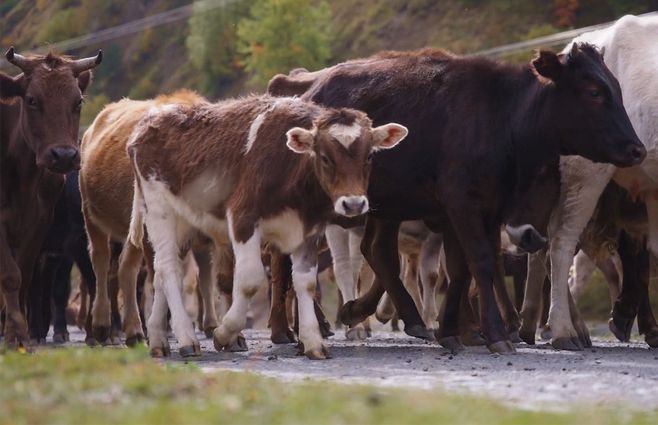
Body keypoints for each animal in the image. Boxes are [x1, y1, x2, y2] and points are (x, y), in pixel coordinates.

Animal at [0, 48, 101, 346]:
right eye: (32, 100)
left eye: (78, 101)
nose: (64, 156)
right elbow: (10, 275)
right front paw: (15, 334)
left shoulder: (39, 225)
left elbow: (25, 276)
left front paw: (21, 333)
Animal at [126, 93, 404, 358]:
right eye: (325, 158)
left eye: (369, 156)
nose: (354, 204)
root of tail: (148, 122)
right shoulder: (243, 217)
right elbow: (249, 280)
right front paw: (225, 334)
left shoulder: (309, 230)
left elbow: (305, 282)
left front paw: (313, 342)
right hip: (159, 210)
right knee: (168, 269)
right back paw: (186, 338)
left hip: (183, 222)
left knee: (160, 273)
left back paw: (158, 339)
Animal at [266, 41, 640, 352]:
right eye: (593, 91)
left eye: (618, 89)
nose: (637, 148)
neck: (501, 119)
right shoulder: (461, 202)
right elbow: (481, 262)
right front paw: (495, 333)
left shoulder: (482, 210)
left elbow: (462, 267)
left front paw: (455, 331)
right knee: (290, 261)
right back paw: (289, 330)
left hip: (386, 206)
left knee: (377, 251)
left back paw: (389, 316)